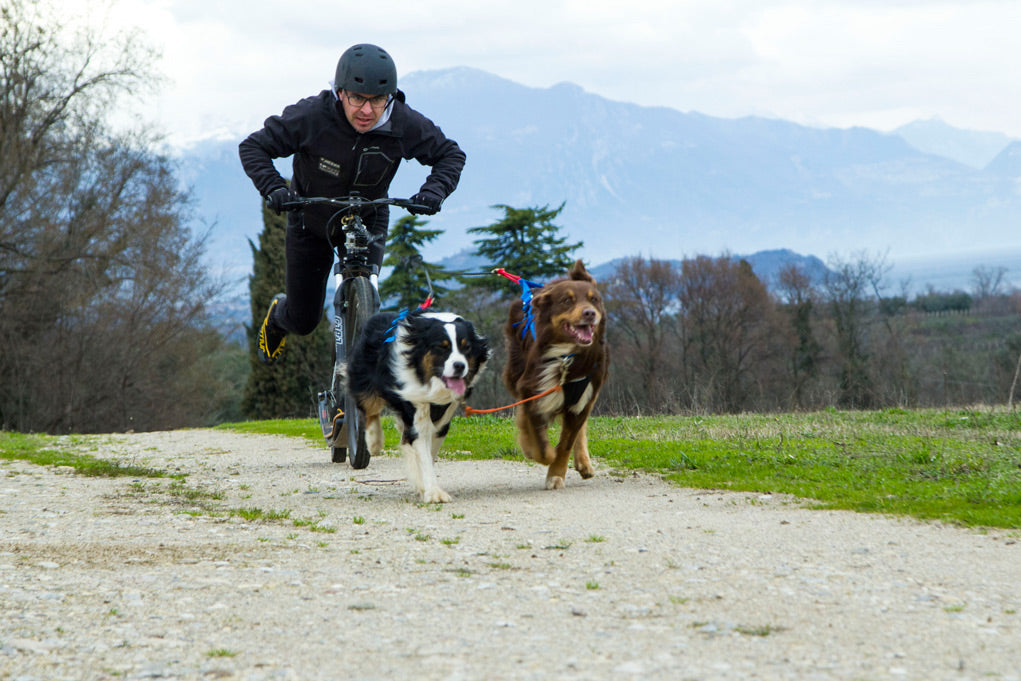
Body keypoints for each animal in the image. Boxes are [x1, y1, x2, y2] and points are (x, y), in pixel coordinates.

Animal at [347, 308, 490, 500]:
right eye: (442, 347)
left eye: (466, 347)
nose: (460, 366)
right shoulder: (415, 401)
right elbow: (422, 448)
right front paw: (434, 492)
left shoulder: (444, 417)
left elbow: (429, 450)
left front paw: (423, 485)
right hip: (365, 379)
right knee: (369, 408)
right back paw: (374, 442)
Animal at [502, 258, 604, 488]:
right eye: (567, 300)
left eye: (594, 300)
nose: (590, 313)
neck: (566, 356)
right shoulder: (532, 390)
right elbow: (539, 441)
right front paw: (536, 451)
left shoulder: (584, 396)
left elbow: (566, 442)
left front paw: (556, 473)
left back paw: (584, 462)